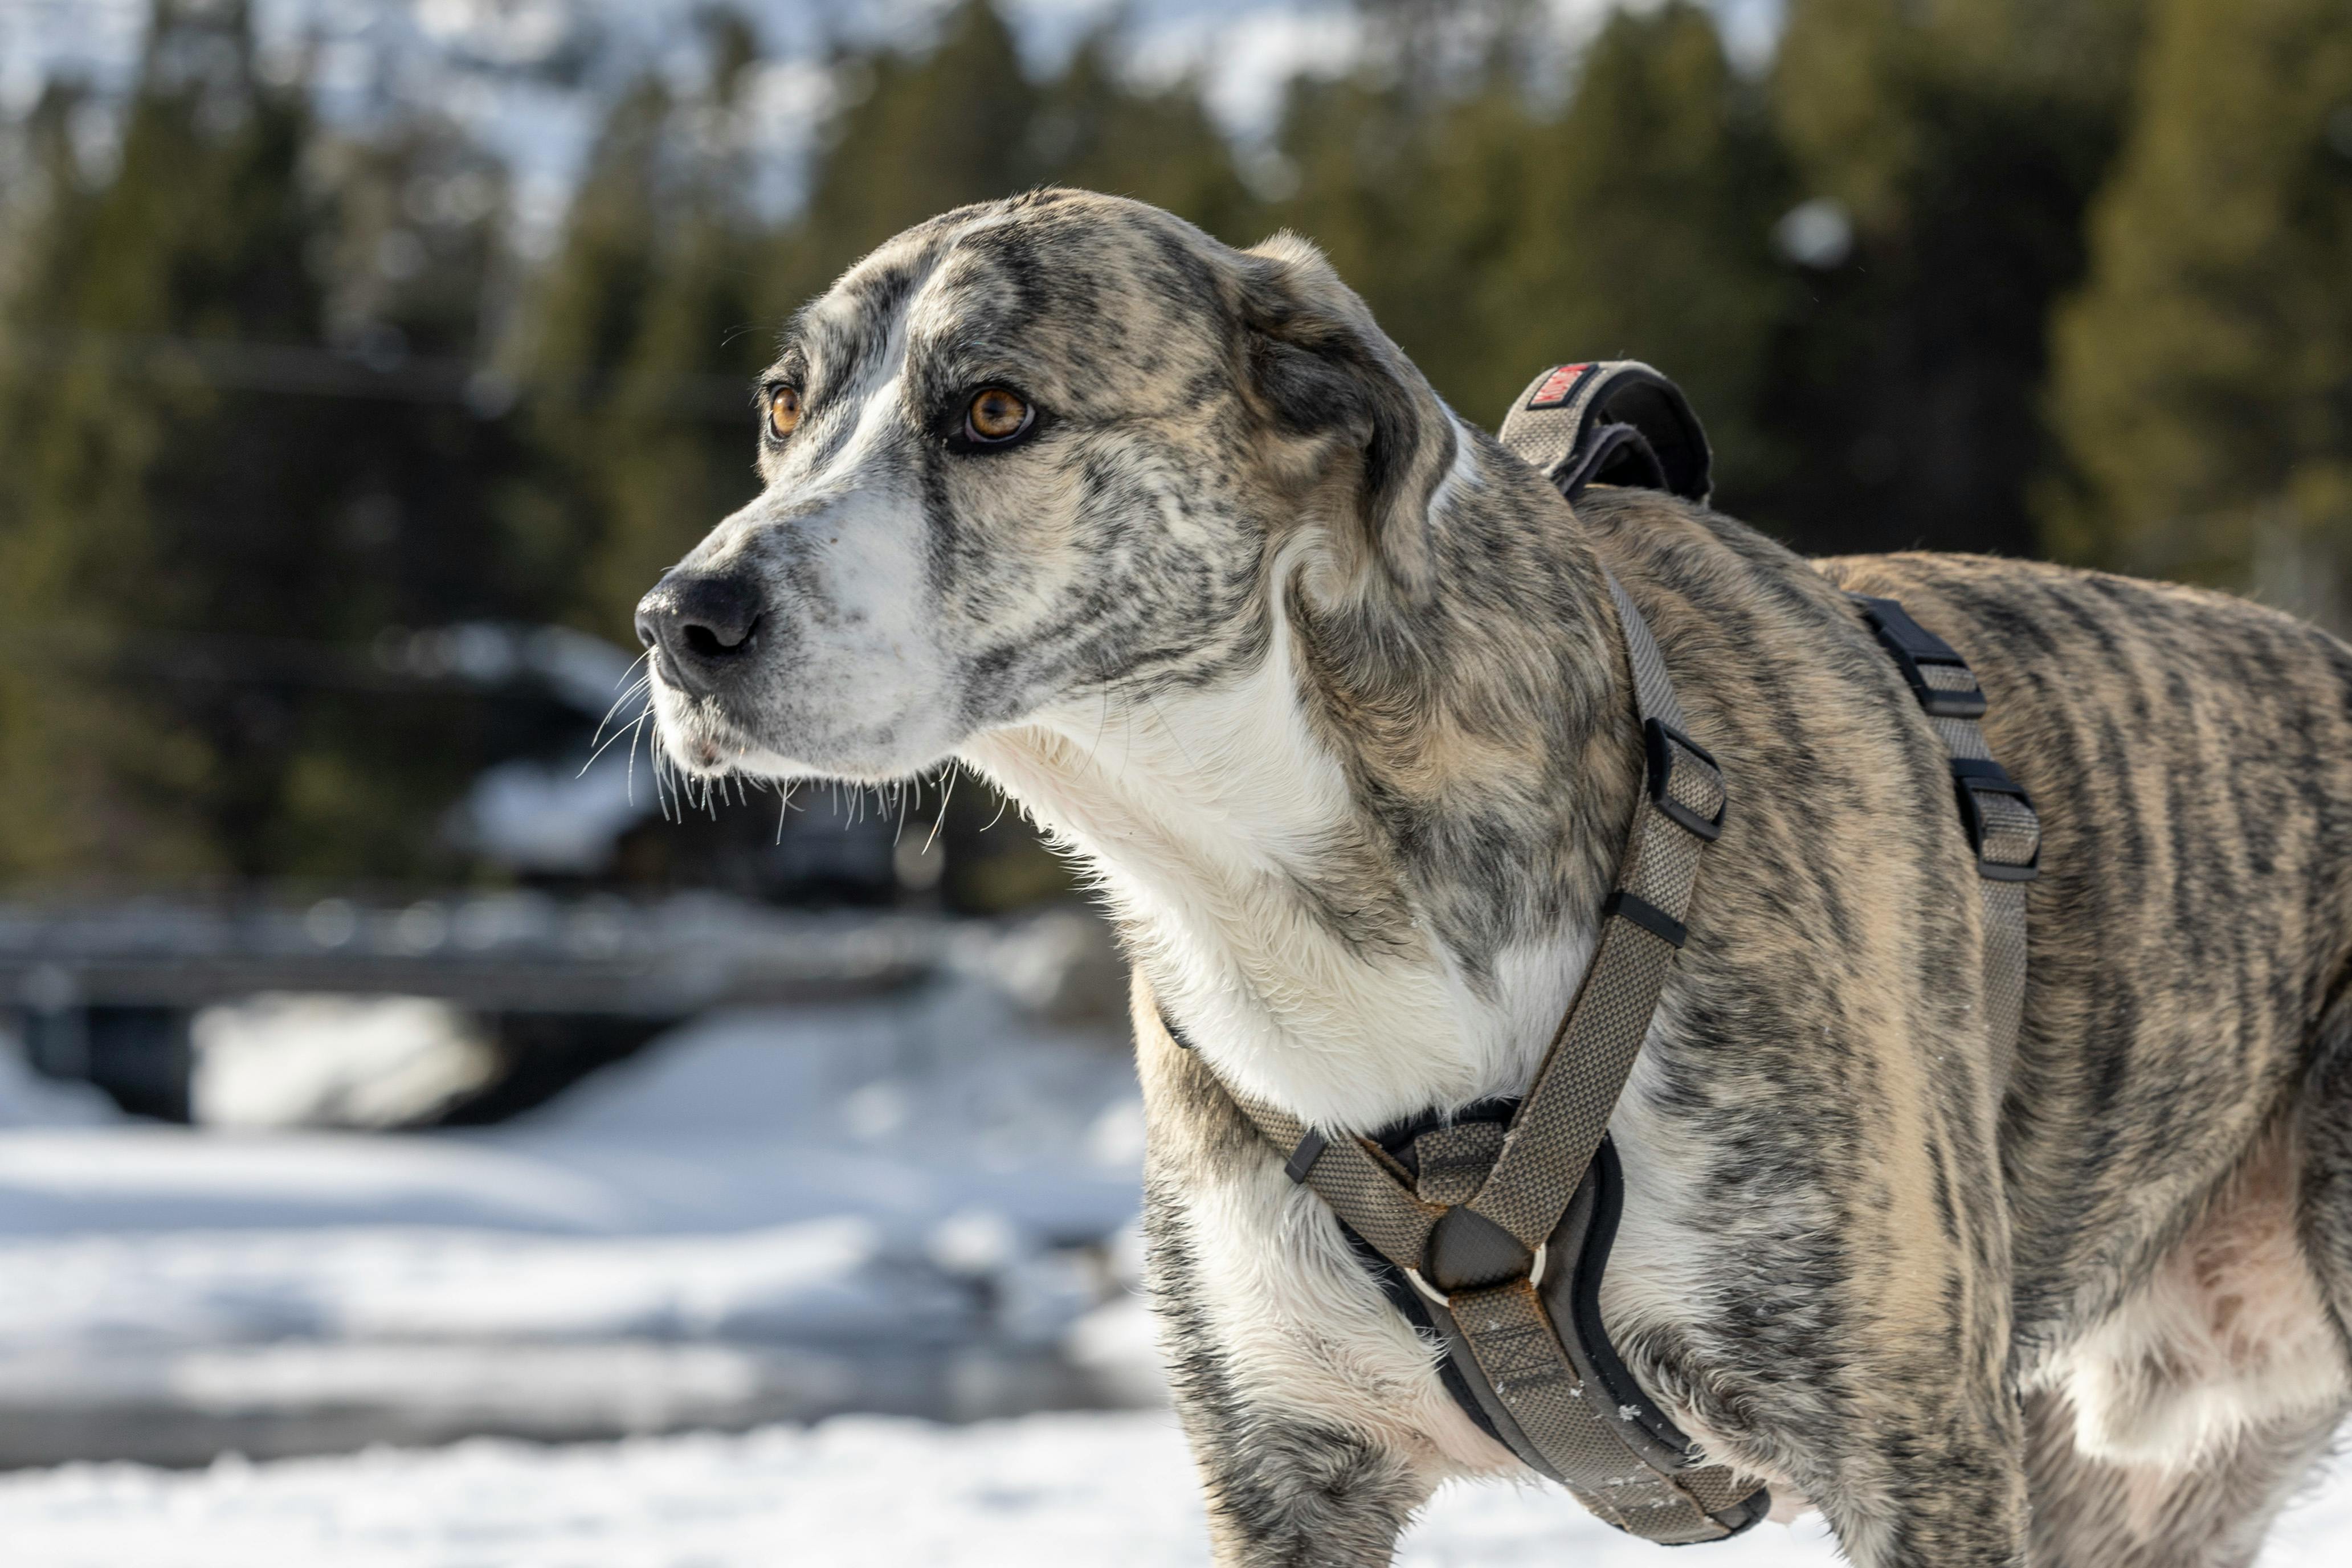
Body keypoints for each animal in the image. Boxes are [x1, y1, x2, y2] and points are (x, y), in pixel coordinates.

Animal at [635, 190, 2352, 1561]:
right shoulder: (1282, 1469)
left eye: (993, 412)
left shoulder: (1911, 1450)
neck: (1296, 890)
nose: (681, 620)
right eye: (783, 409)